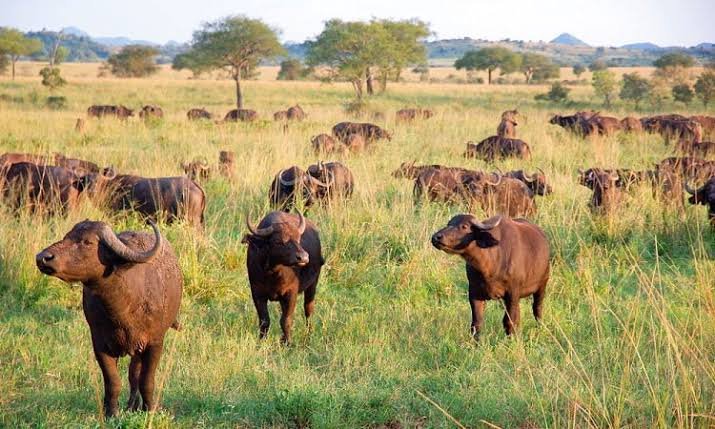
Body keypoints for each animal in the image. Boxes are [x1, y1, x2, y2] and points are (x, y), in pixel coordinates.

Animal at [36, 220, 182, 416]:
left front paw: (150, 409)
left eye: (87, 242)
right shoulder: (100, 344)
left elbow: (146, 379)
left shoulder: (155, 342)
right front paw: (111, 412)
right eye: (66, 236)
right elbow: (113, 381)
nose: (42, 257)